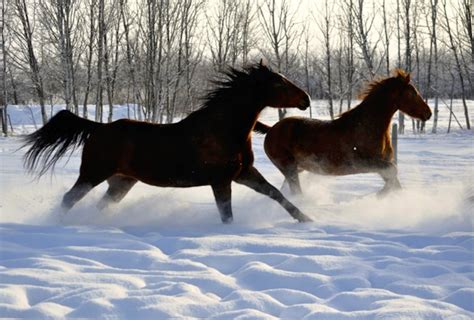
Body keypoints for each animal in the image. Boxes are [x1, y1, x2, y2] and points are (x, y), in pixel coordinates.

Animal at [23, 62, 312, 222]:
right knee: (68, 199)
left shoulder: (244, 173)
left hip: (121, 182)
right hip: (92, 174)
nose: (306, 99)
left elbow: (275, 193)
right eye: (279, 83)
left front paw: (306, 219)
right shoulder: (221, 181)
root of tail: (99, 128)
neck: (224, 130)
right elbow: (227, 214)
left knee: (98, 204)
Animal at [256, 69, 434, 195]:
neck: (368, 126)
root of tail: (271, 129)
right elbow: (393, 171)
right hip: (289, 167)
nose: (428, 113)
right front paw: (379, 196)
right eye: (412, 93)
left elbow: (395, 183)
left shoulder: (382, 166)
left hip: (296, 168)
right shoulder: (365, 163)